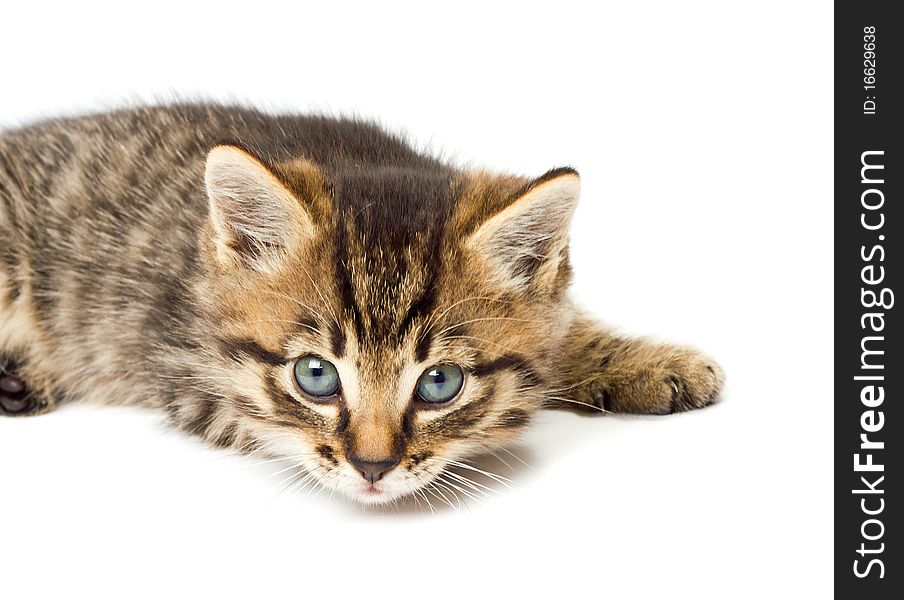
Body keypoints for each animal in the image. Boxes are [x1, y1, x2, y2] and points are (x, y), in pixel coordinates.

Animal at [0, 104, 720, 506]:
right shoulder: (182, 368)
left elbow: (563, 330)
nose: (373, 467)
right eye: (315, 375)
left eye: (440, 382)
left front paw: (652, 363)